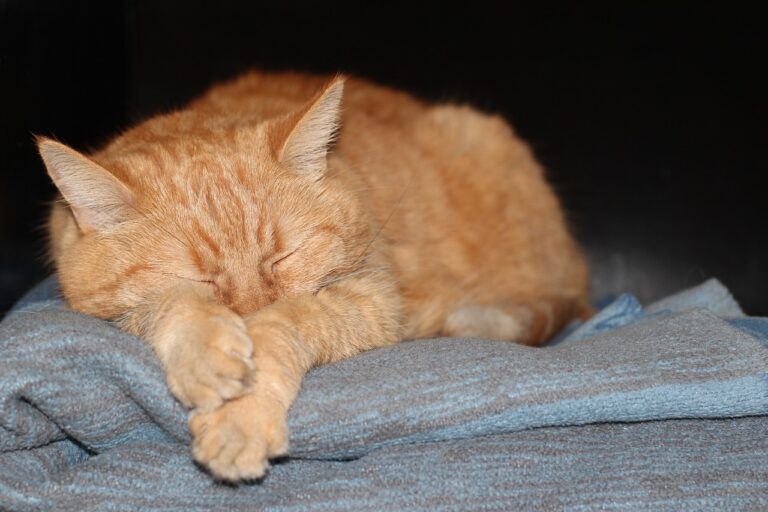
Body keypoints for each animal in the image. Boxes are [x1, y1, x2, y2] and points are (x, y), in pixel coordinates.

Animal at [39, 70, 592, 482]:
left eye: (284, 257)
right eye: (203, 279)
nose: (246, 315)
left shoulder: (372, 300)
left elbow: (288, 320)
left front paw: (241, 415)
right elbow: (167, 302)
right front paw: (207, 352)